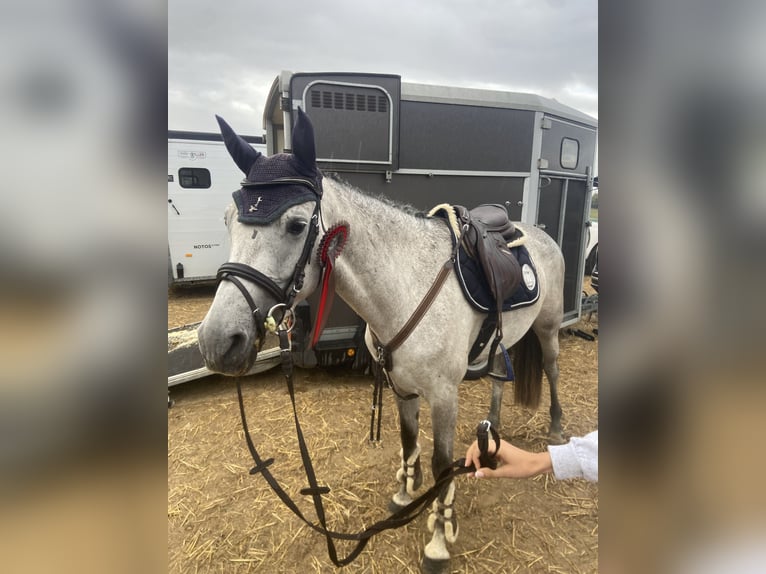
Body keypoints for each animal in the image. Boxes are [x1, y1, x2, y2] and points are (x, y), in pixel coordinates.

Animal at [197, 108, 565, 573]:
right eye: (229, 219)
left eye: (296, 225)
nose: (217, 341)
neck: (407, 285)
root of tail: (537, 232)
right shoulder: (401, 387)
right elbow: (408, 441)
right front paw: (406, 493)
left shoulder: (443, 395)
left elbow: (442, 464)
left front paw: (439, 539)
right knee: (500, 377)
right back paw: (493, 428)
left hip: (548, 328)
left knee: (551, 368)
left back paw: (556, 425)